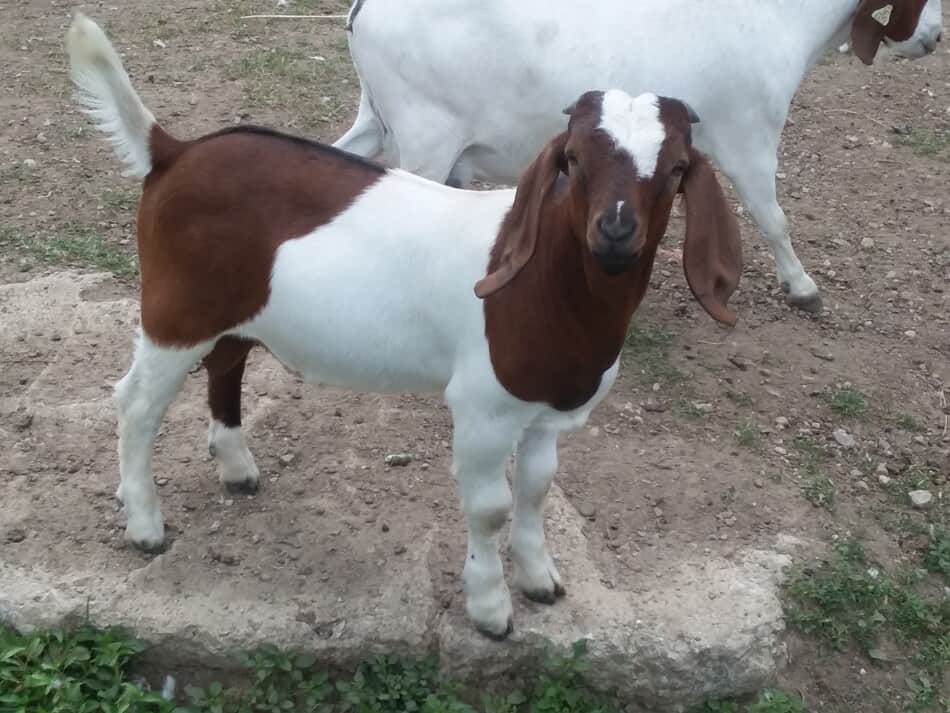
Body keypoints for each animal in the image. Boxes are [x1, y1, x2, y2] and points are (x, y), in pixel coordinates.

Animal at [334, 0, 944, 312]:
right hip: (427, 135)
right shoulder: (748, 136)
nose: (935, 37)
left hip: (379, 117)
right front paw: (802, 288)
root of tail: (364, 11)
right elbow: (773, 218)